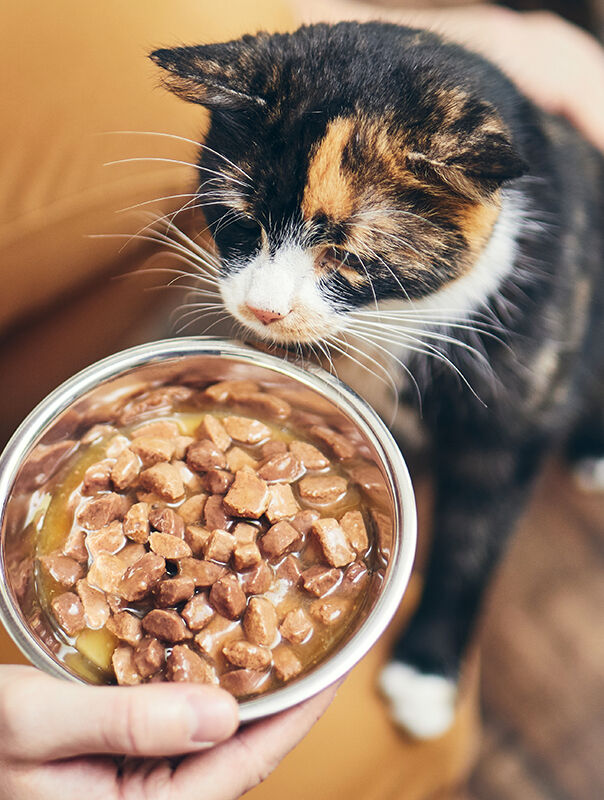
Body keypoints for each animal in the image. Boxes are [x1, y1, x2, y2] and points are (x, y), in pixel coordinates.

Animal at [147, 21, 604, 740]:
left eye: (348, 256)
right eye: (240, 223)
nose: (263, 309)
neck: (390, 323)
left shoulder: (510, 420)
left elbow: (472, 540)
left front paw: (426, 672)